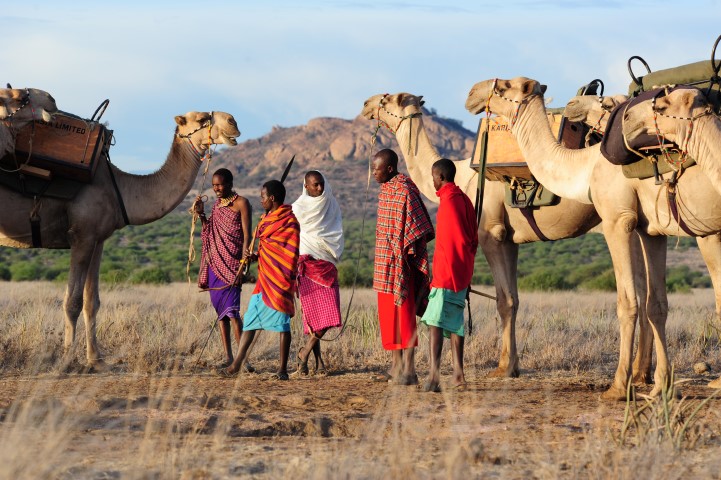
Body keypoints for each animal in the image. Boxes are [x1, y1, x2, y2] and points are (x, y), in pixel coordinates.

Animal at [0, 110, 240, 367]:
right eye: (203, 118)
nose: (233, 122)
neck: (121, 190)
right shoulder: (82, 235)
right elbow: (72, 302)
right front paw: (67, 361)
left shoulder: (97, 240)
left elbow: (91, 302)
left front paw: (96, 360)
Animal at [360, 92, 600, 378]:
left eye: (389, 99)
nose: (366, 104)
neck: (465, 176)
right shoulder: (510, 239)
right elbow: (515, 299)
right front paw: (513, 366)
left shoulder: (491, 233)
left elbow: (504, 301)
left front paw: (503, 368)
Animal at [466, 77, 721, 399]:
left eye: (504, 86)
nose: (472, 93)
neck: (587, 165)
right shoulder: (651, 229)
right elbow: (656, 305)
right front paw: (661, 385)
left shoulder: (617, 220)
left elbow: (627, 303)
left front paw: (619, 386)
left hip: (707, 231)